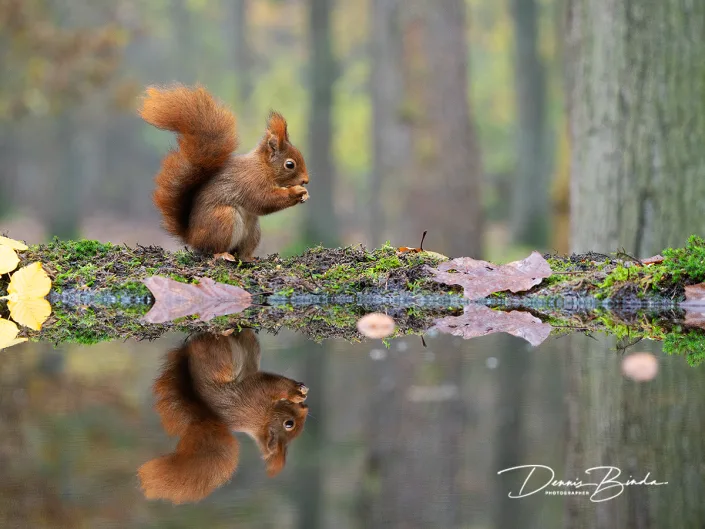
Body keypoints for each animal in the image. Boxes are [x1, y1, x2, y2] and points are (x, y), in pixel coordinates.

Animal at [138, 84, 310, 261]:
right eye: (290, 165)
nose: (306, 180)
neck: (263, 167)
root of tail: (192, 237)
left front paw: (305, 195)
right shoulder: (251, 181)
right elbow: (264, 200)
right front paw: (296, 191)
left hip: (253, 231)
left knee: (242, 251)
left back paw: (249, 258)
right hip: (223, 219)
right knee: (212, 249)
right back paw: (223, 254)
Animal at [138, 329, 309, 504]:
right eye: (289, 424)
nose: (305, 408)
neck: (264, 418)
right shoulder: (258, 395)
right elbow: (274, 383)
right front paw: (296, 392)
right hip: (222, 354)